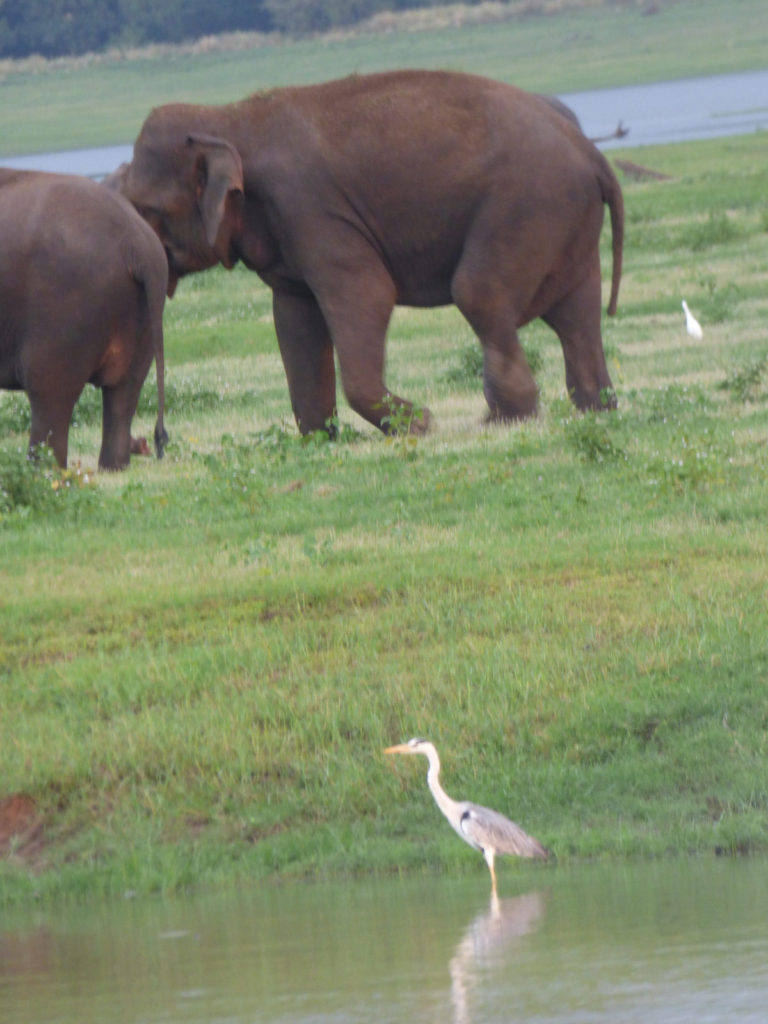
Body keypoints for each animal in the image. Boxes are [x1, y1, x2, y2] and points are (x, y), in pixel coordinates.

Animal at [0, 169, 168, 468]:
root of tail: (135, 243)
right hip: (147, 314)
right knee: (124, 392)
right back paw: (112, 468)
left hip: (64, 306)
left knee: (49, 392)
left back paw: (44, 472)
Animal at [121, 68, 626, 436]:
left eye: (148, 209)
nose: (159, 440)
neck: (228, 118)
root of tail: (592, 153)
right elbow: (295, 318)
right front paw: (320, 438)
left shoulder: (312, 209)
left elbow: (366, 294)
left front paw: (420, 425)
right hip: (565, 219)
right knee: (575, 313)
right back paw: (594, 408)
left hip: (528, 205)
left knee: (478, 292)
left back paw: (505, 419)